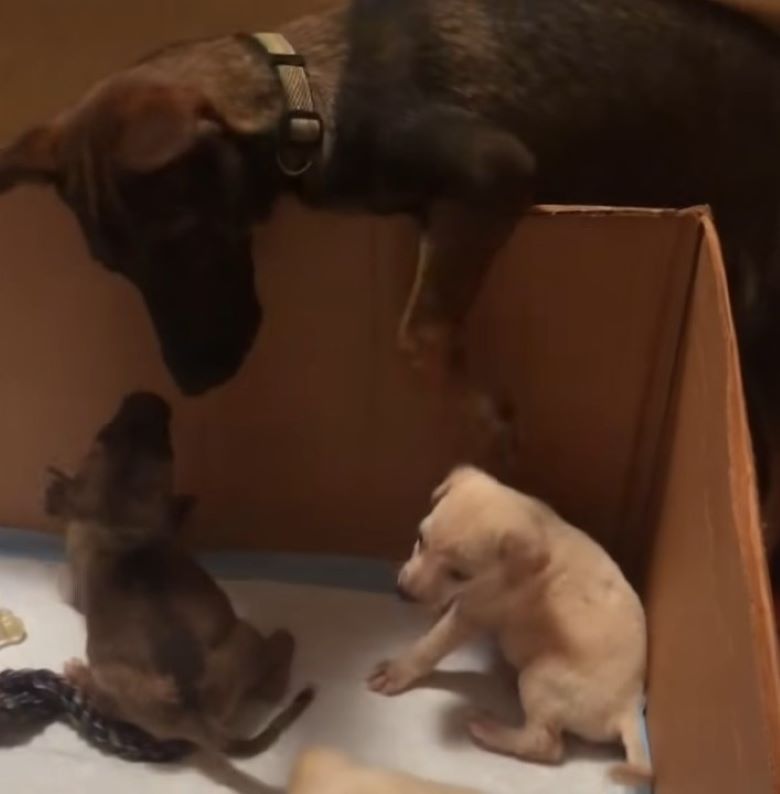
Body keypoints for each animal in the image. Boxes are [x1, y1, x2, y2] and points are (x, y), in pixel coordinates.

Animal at [0, 0, 780, 540]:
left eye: (182, 241)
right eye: (114, 266)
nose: (189, 383)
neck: (305, 97)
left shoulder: (493, 170)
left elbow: (420, 333)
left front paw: (487, 417)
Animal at [368, 464, 648, 780]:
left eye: (460, 573)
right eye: (420, 539)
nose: (403, 592)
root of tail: (628, 708)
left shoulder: (474, 613)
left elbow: (431, 644)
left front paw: (397, 669)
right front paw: (434, 607)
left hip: (539, 678)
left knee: (546, 745)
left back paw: (490, 731)